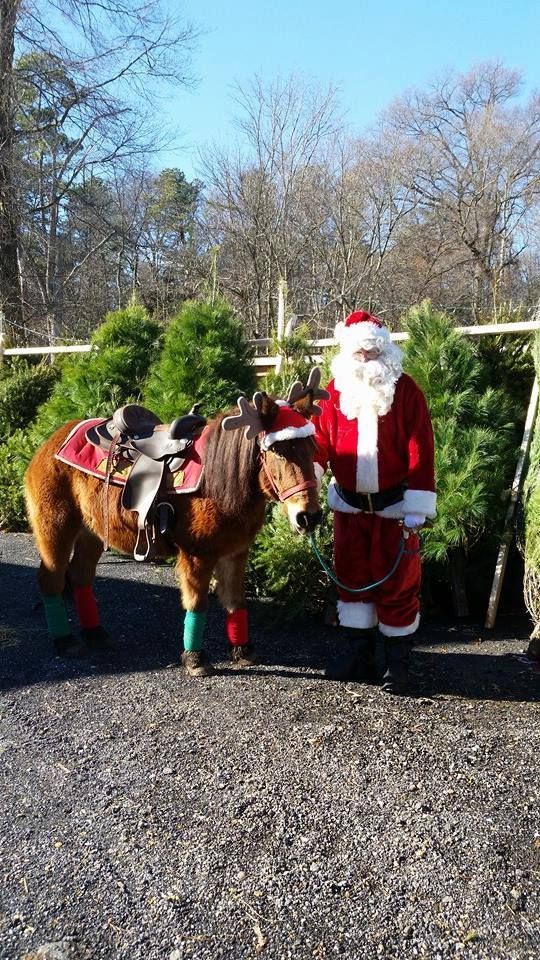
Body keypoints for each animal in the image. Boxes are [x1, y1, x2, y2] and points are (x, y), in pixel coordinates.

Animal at [24, 370, 327, 676]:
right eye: (278, 451)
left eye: (312, 447)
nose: (308, 516)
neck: (219, 483)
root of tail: (50, 443)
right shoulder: (197, 556)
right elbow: (198, 603)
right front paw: (195, 658)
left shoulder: (236, 552)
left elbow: (235, 600)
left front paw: (243, 650)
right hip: (56, 527)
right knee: (51, 577)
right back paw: (65, 641)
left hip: (92, 533)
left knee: (81, 574)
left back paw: (95, 634)